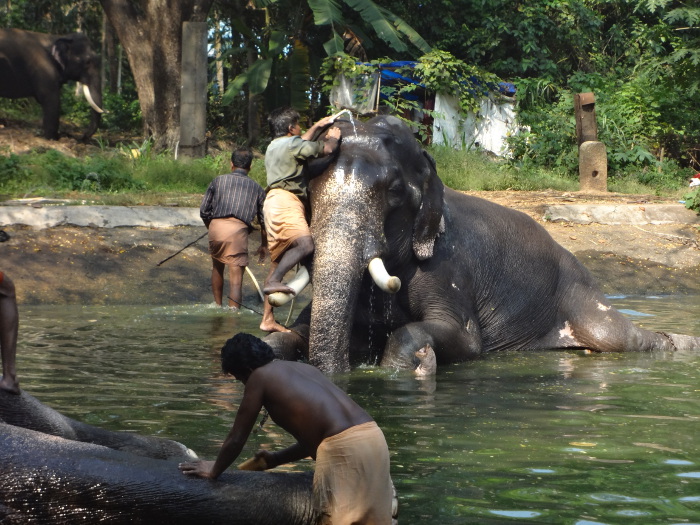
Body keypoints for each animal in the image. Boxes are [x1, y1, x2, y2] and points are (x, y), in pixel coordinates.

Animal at [262, 116, 700, 374]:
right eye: (307, 190)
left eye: (394, 192)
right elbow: (287, 336)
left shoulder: (447, 266)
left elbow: (463, 340)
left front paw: (412, 365)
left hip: (583, 295)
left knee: (618, 338)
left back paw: (681, 343)